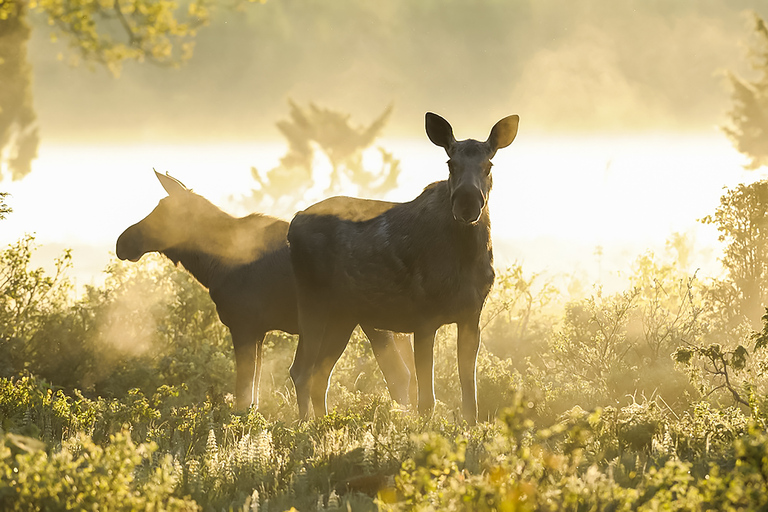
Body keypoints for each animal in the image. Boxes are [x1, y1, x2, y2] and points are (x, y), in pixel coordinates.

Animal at [115, 172, 416, 412]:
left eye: (163, 212)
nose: (122, 242)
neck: (211, 266)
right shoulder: (259, 331)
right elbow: (254, 396)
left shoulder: (243, 325)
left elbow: (242, 394)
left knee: (397, 374)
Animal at [290, 114, 520, 426]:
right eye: (451, 163)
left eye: (489, 166)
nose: (467, 203)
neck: (465, 257)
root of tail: (293, 222)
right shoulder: (423, 318)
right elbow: (426, 400)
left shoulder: (471, 316)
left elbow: (469, 396)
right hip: (313, 303)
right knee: (301, 372)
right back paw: (305, 427)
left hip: (343, 316)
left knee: (319, 375)